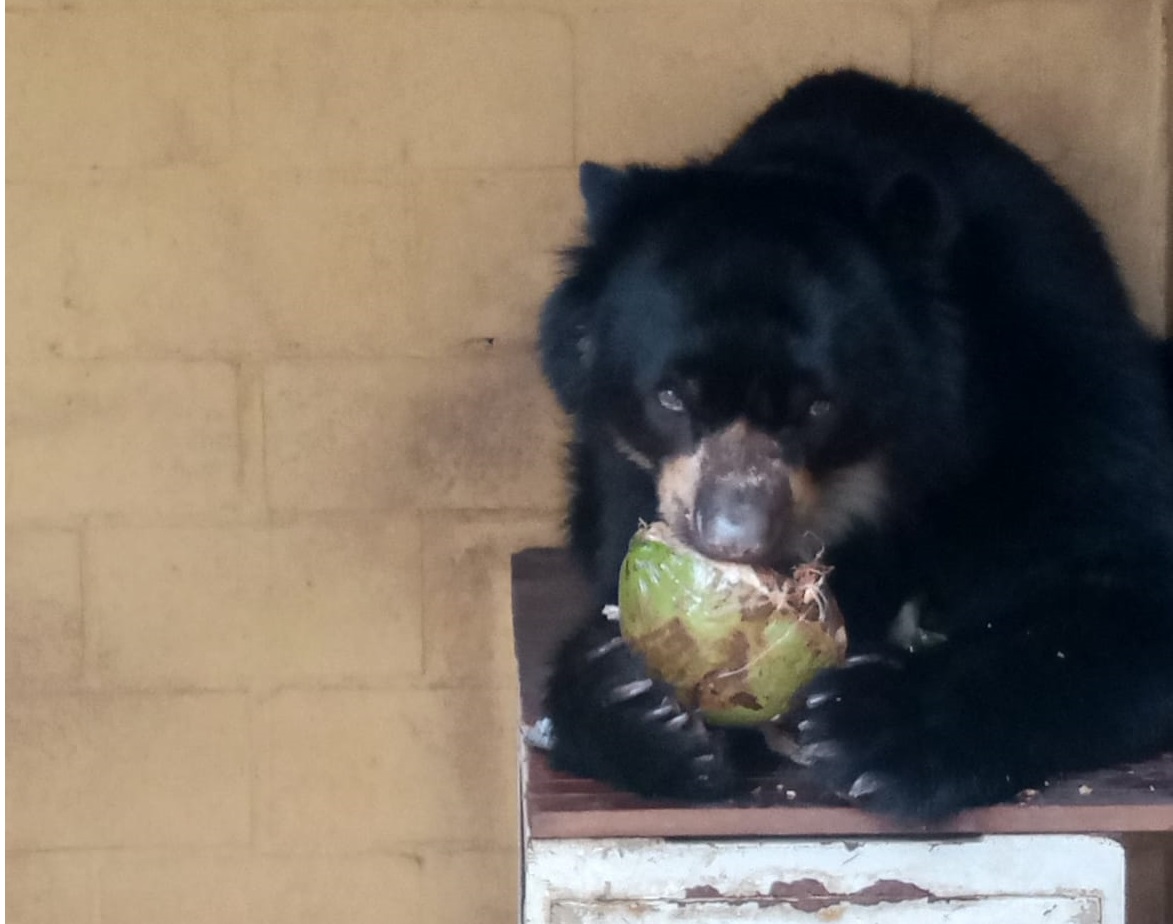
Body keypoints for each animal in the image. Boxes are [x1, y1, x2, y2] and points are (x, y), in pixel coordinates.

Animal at [536, 69, 1173, 819]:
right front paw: (635, 701)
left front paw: (871, 724)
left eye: (816, 407)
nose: (734, 539)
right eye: (670, 398)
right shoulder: (625, 470)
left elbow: (1125, 576)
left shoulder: (1061, 371)